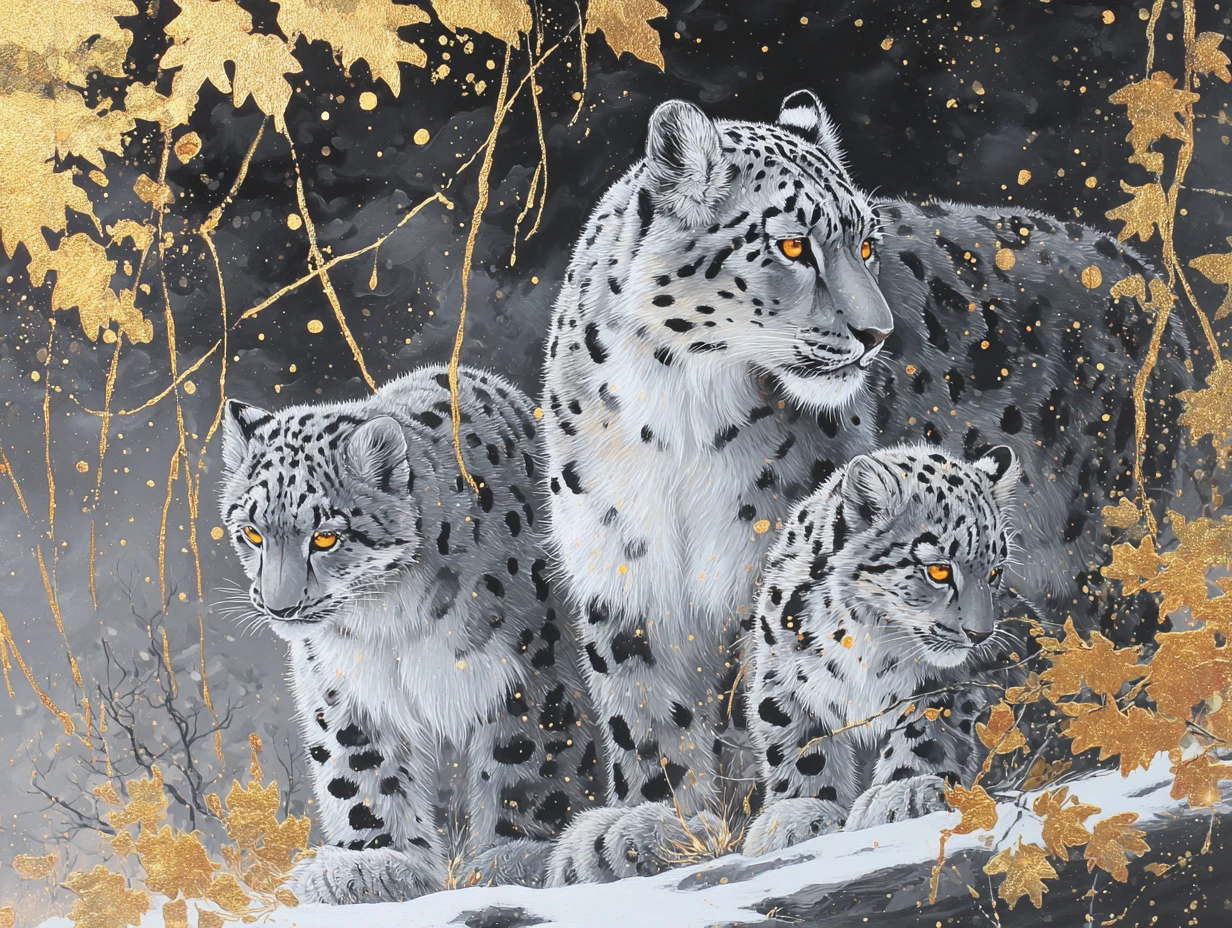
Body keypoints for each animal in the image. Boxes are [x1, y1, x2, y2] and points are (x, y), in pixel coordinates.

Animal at [218, 364, 600, 903]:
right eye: (252, 532)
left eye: (326, 537)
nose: (279, 605)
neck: (387, 621)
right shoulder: (344, 688)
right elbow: (359, 770)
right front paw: (374, 864)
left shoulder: (531, 668)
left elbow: (529, 756)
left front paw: (513, 856)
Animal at [742, 443, 1021, 856]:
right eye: (938, 570)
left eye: (995, 572)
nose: (980, 634)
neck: (868, 635)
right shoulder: (783, 675)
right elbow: (797, 744)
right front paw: (799, 813)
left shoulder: (946, 683)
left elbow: (927, 733)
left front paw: (903, 793)